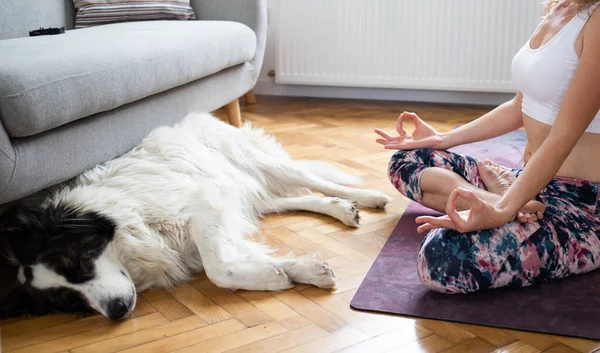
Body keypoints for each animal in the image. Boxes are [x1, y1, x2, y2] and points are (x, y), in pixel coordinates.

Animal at [0, 113, 392, 320]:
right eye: (69, 302)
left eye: (80, 262)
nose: (117, 311)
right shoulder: (212, 218)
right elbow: (239, 258)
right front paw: (298, 271)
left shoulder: (201, 206)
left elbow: (218, 270)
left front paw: (275, 277)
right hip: (242, 190)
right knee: (291, 199)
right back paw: (339, 208)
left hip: (256, 164)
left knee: (313, 179)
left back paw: (368, 198)